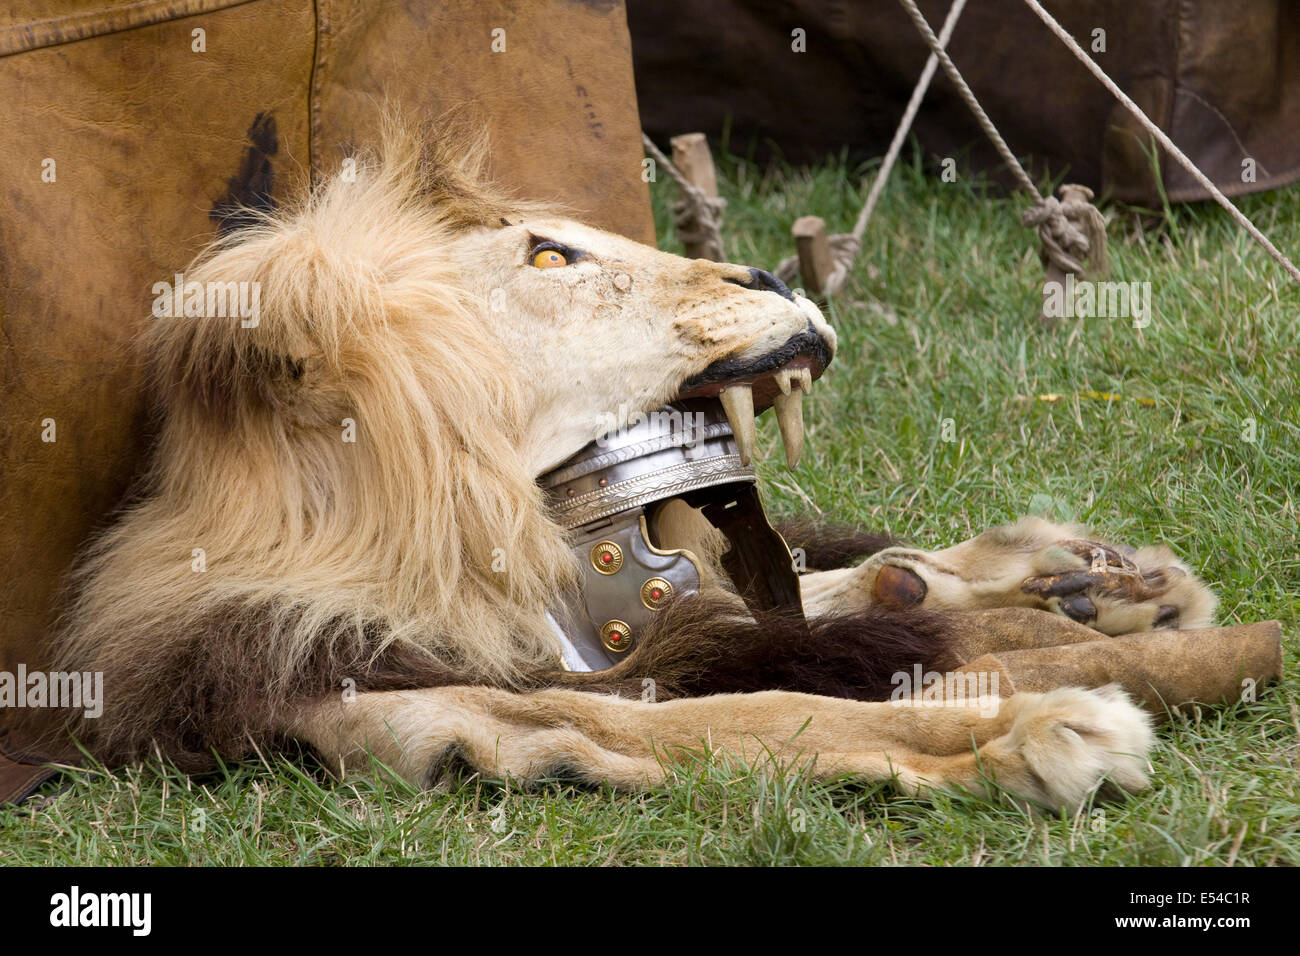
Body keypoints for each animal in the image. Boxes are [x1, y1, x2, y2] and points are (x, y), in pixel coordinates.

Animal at [24, 118, 1222, 812]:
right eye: (551, 255)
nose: (769, 275)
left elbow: (794, 598)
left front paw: (1090, 583)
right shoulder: (378, 697)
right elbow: (740, 711)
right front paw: (1027, 730)